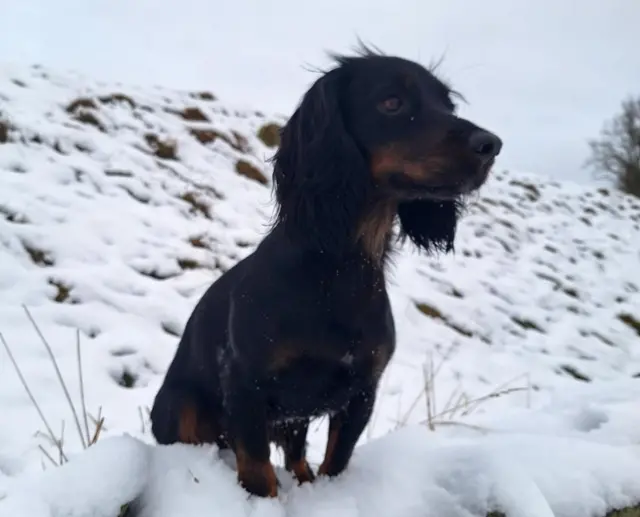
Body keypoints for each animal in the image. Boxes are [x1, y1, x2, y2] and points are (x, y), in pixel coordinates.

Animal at [149, 46, 500, 498]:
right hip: (181, 405)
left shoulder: (361, 392)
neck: (336, 269)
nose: (491, 145)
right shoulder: (245, 384)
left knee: (298, 458)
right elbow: (258, 470)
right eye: (392, 102)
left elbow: (336, 461)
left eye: (448, 105)